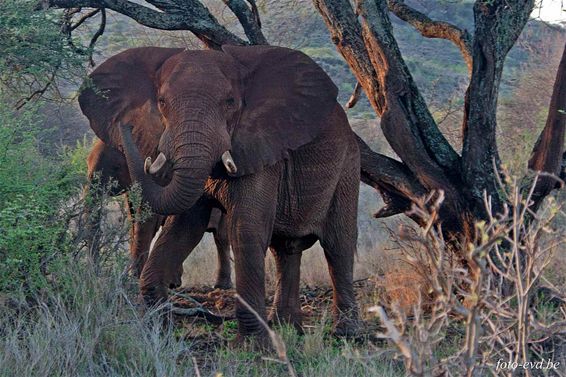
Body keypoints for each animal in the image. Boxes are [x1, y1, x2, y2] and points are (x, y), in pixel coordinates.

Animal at [77, 45, 362, 340]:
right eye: (162, 102)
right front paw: (160, 332)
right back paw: (287, 328)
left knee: (338, 245)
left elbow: (245, 230)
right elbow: (183, 227)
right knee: (285, 250)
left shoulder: (260, 148)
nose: (126, 127)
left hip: (347, 167)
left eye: (230, 102)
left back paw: (345, 333)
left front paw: (253, 344)